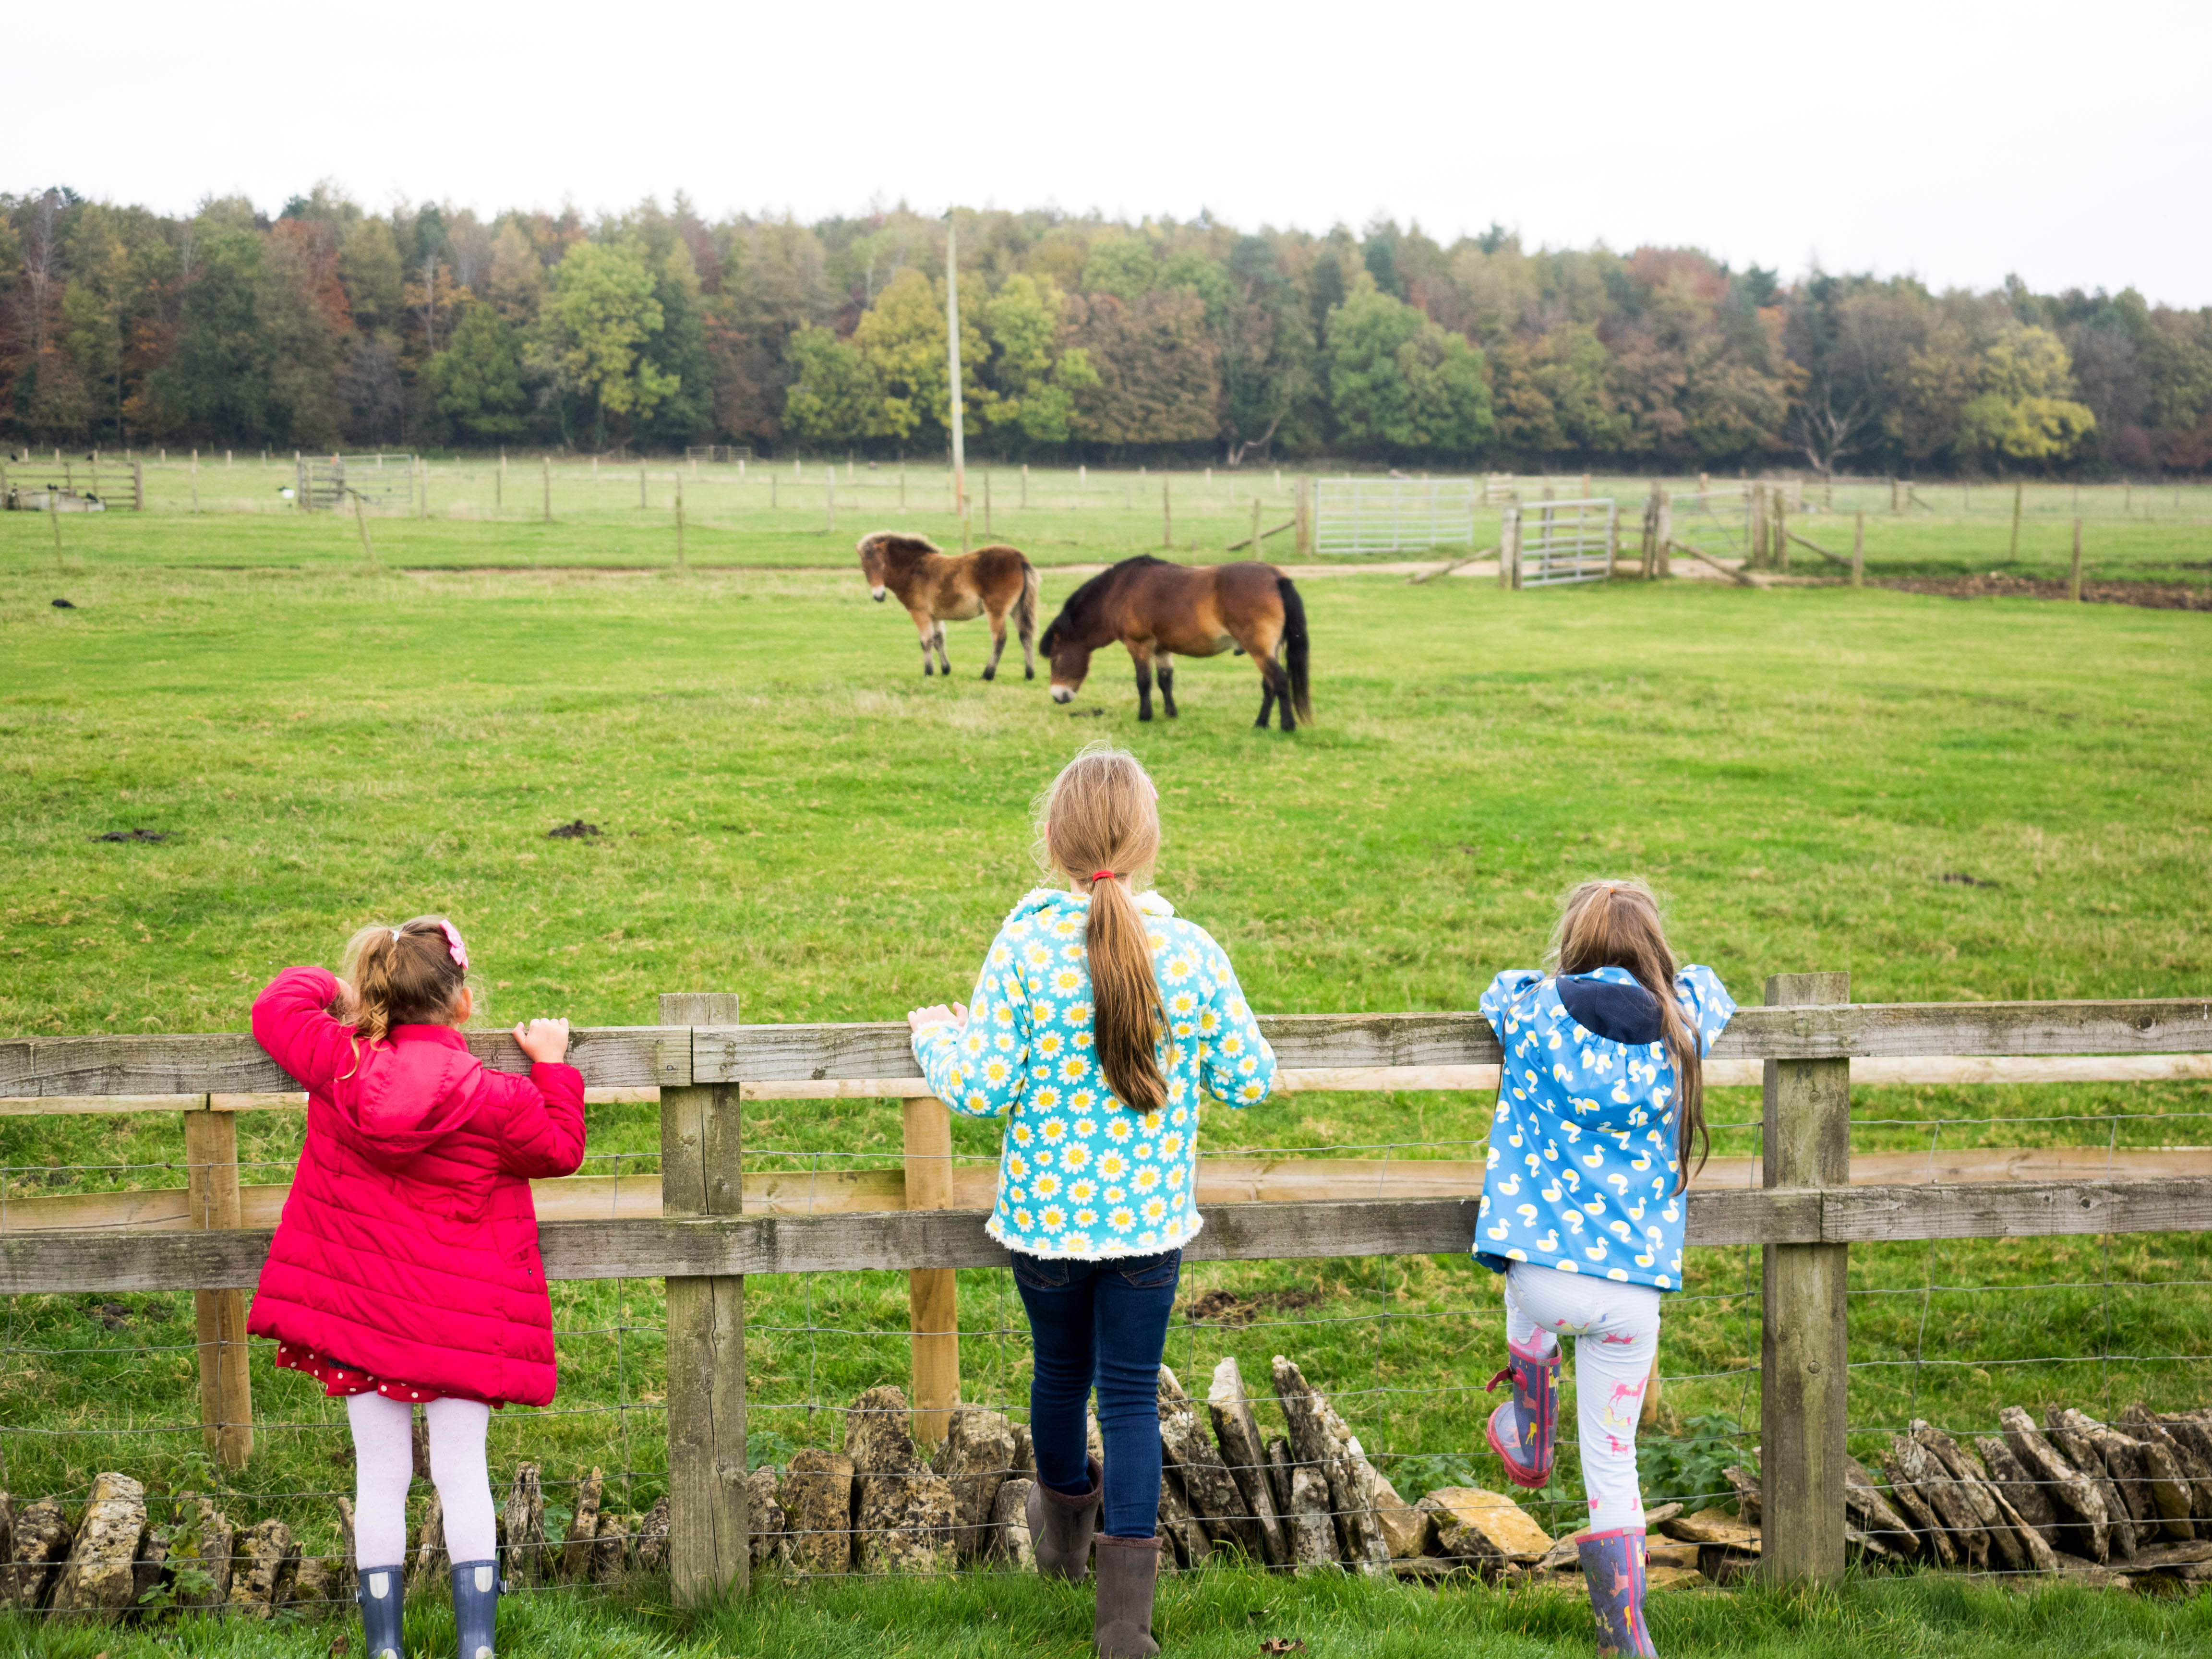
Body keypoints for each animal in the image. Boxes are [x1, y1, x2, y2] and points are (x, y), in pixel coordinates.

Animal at [858, 535, 1039, 685]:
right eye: (865, 570)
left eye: (882, 567)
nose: (879, 596)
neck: (914, 570)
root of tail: (1019, 558)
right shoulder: (935, 616)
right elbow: (939, 639)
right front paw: (945, 669)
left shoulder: (919, 613)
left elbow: (926, 641)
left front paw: (928, 672)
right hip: (1017, 608)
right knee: (1025, 635)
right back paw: (1029, 674)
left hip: (996, 610)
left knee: (1000, 638)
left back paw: (987, 675)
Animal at [1039, 559, 1309, 734]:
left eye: (1056, 659)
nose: (1057, 696)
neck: (1120, 590)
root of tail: (1276, 576)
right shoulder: (1161, 648)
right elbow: (1165, 680)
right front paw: (1171, 713)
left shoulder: (1139, 645)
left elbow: (1144, 682)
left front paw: (1145, 716)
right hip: (1269, 650)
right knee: (1269, 685)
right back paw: (1260, 724)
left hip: (1259, 650)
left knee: (1280, 680)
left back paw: (1287, 726)